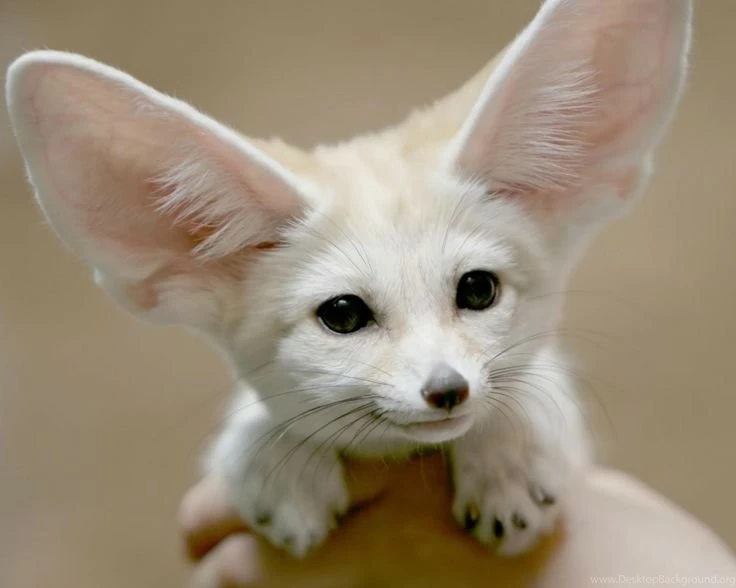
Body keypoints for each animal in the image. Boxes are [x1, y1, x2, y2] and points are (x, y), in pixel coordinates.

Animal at [6, 0, 692, 559]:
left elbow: (531, 382)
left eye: (477, 290)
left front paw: (507, 456)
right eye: (343, 314)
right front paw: (277, 458)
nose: (448, 390)